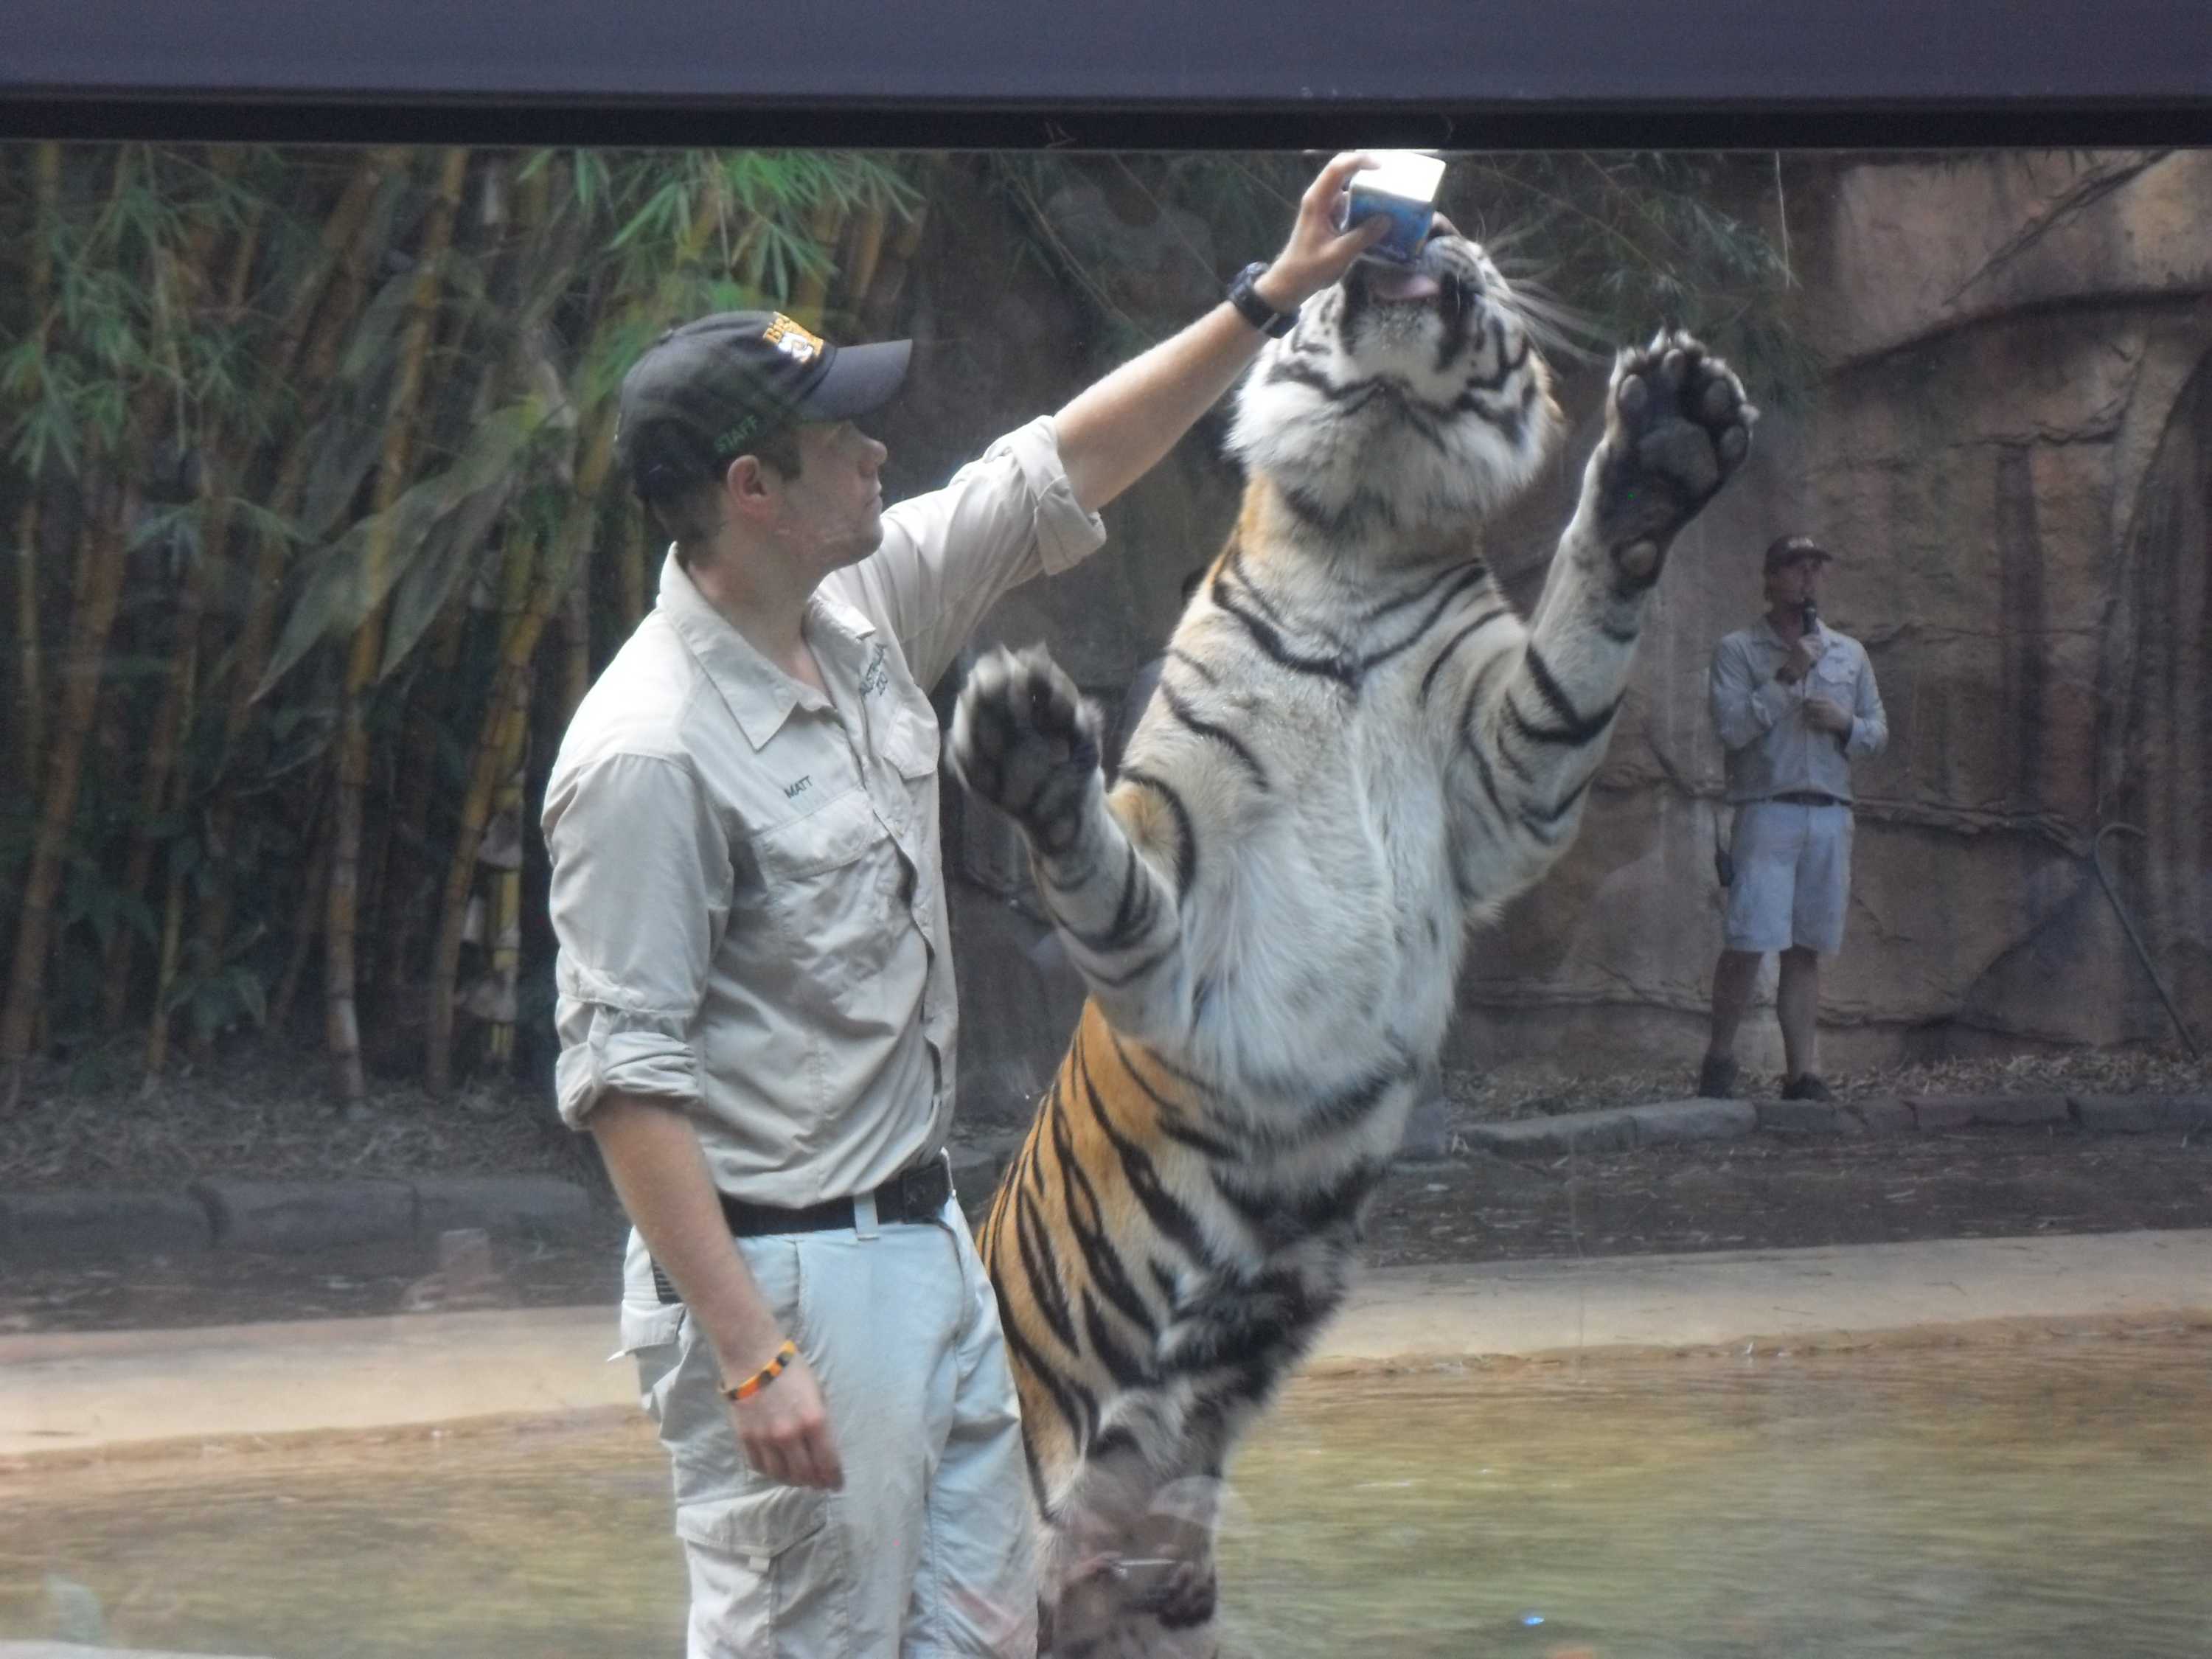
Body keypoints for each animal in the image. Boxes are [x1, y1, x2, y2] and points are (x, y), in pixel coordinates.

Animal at [948, 225, 1755, 1657]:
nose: (1420, 231)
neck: (1363, 532)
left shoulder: (1504, 779)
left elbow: (1578, 658)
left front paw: (1665, 445)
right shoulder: (1171, 911)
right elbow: (1103, 873)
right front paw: (1037, 749)